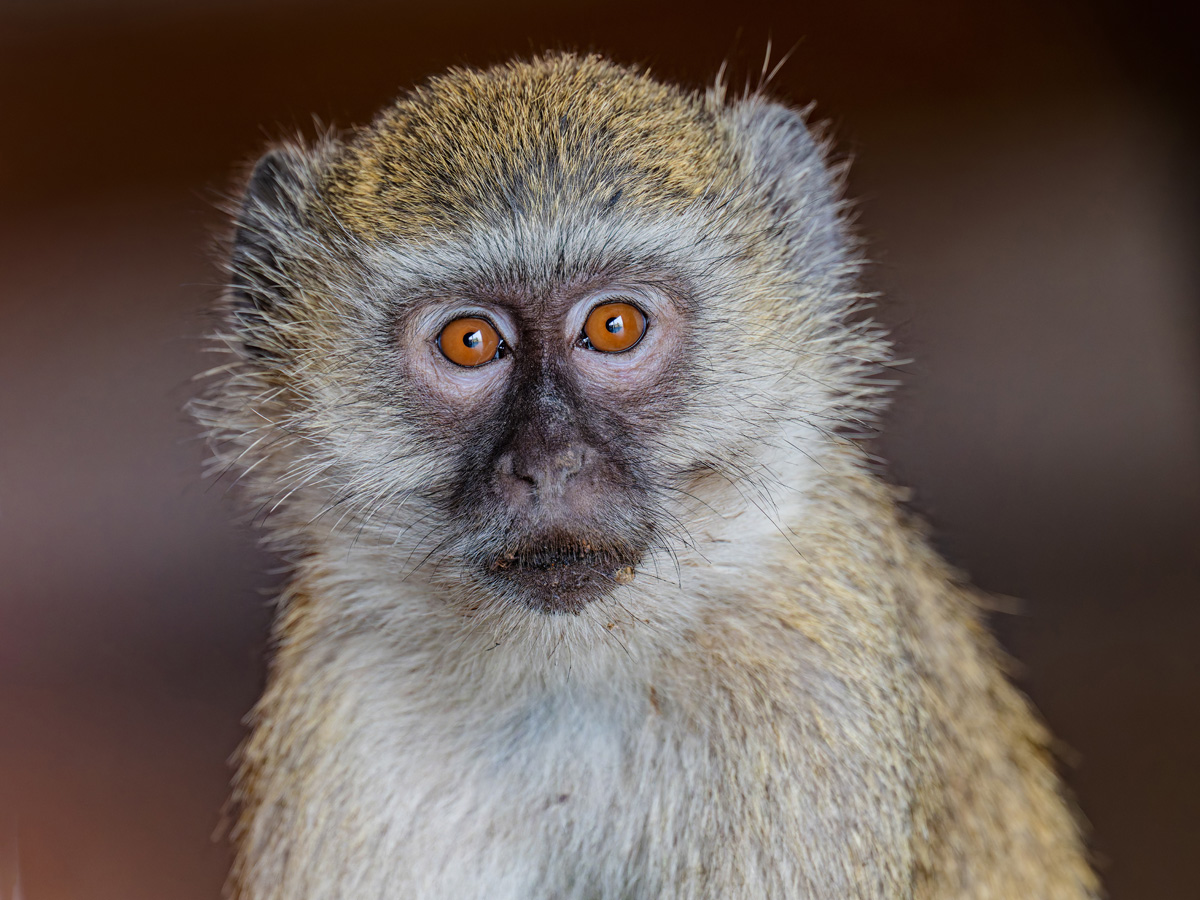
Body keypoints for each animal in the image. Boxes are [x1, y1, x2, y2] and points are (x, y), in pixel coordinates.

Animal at [194, 53, 1100, 899]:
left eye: (614, 326)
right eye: (470, 342)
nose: (549, 465)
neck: (578, 666)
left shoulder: (815, 667)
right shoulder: (348, 689)